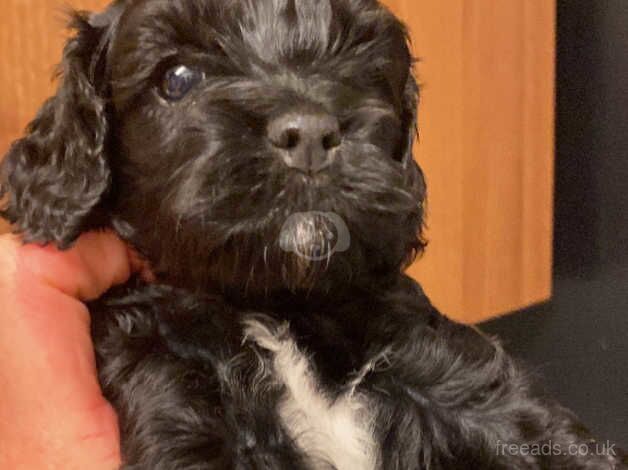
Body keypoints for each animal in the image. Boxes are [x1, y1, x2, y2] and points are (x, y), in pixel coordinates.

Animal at [1, 0, 628, 470]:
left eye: (359, 61)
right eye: (177, 79)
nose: (309, 132)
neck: (280, 305)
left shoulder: (467, 387)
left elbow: (549, 438)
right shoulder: (177, 398)